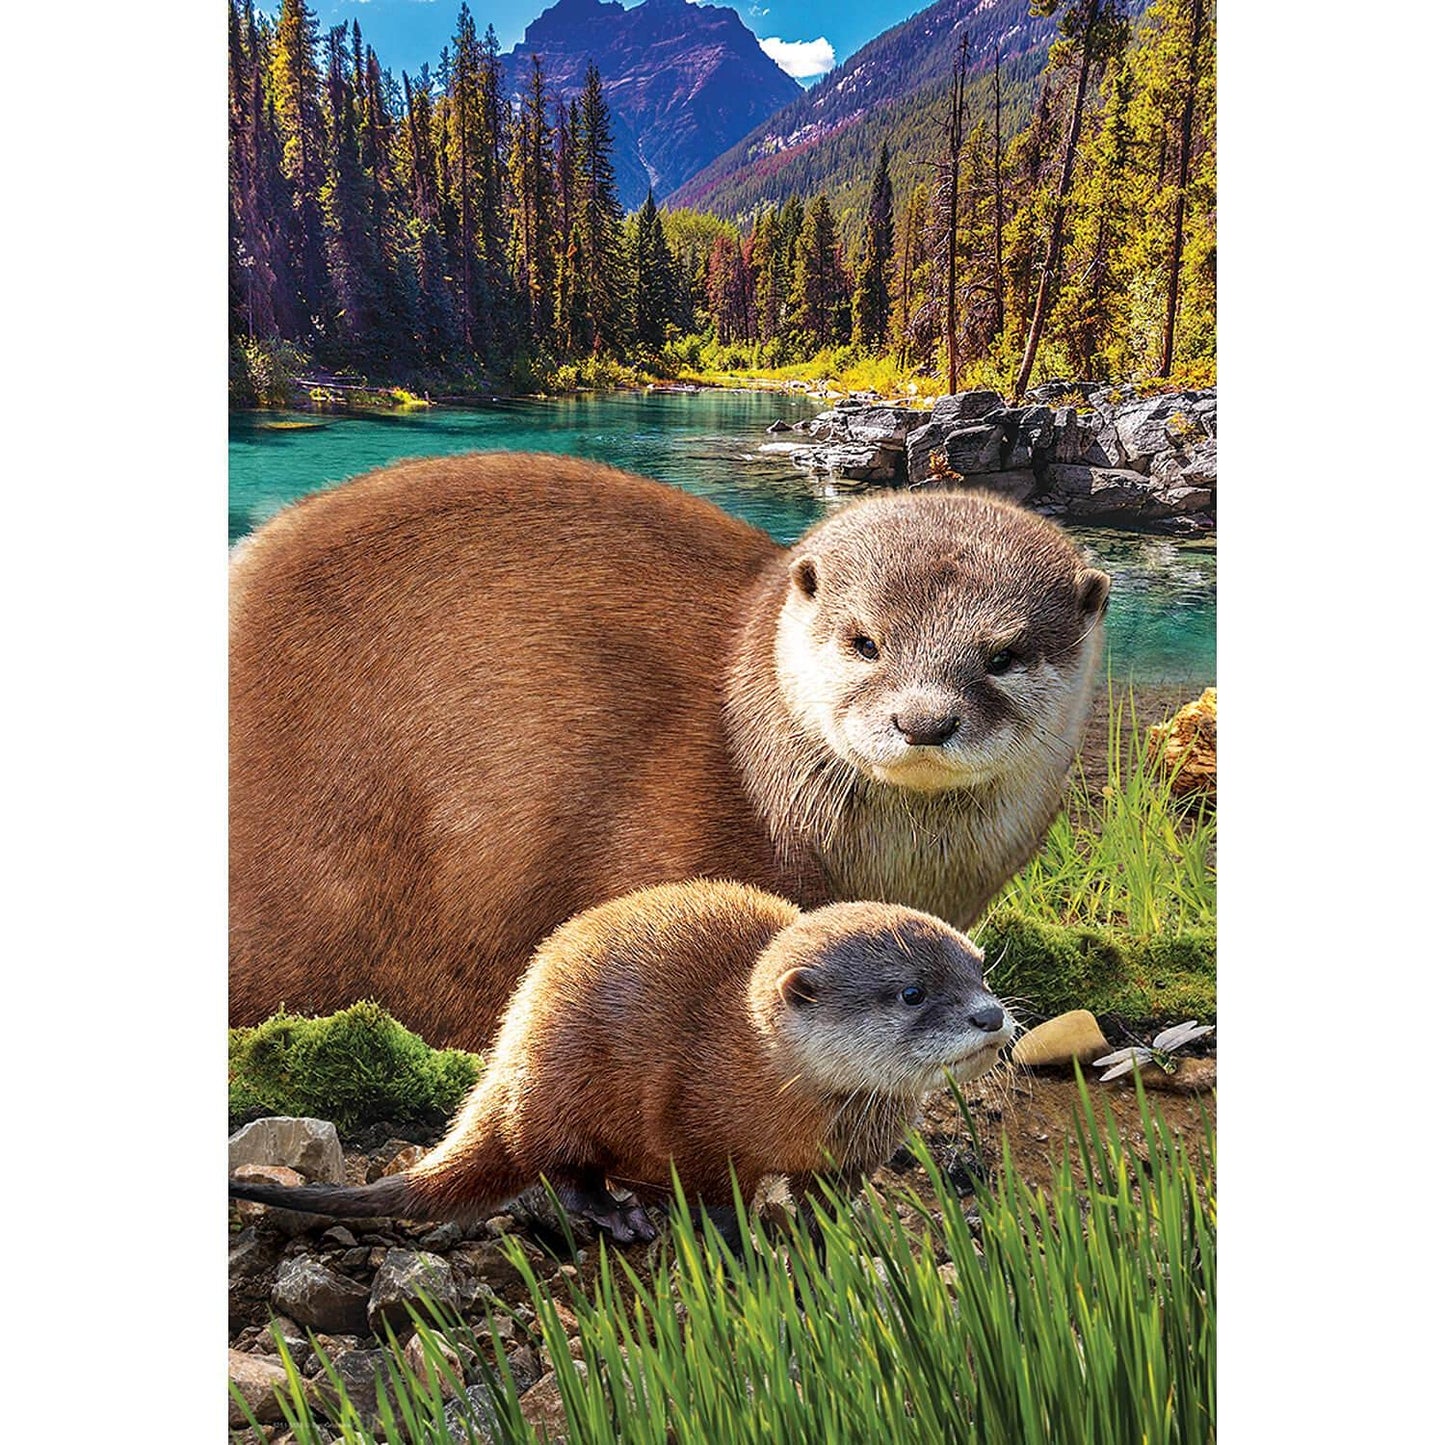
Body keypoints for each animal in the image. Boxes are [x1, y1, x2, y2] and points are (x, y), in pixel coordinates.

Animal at [229, 881, 1013, 1240]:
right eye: (912, 991)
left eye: (978, 968)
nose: (991, 1015)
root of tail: (509, 1049)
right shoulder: (693, 1117)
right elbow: (712, 1191)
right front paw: (740, 1239)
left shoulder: (851, 1156)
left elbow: (831, 1202)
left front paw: (850, 1232)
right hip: (561, 1083)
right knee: (560, 1168)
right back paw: (620, 1214)